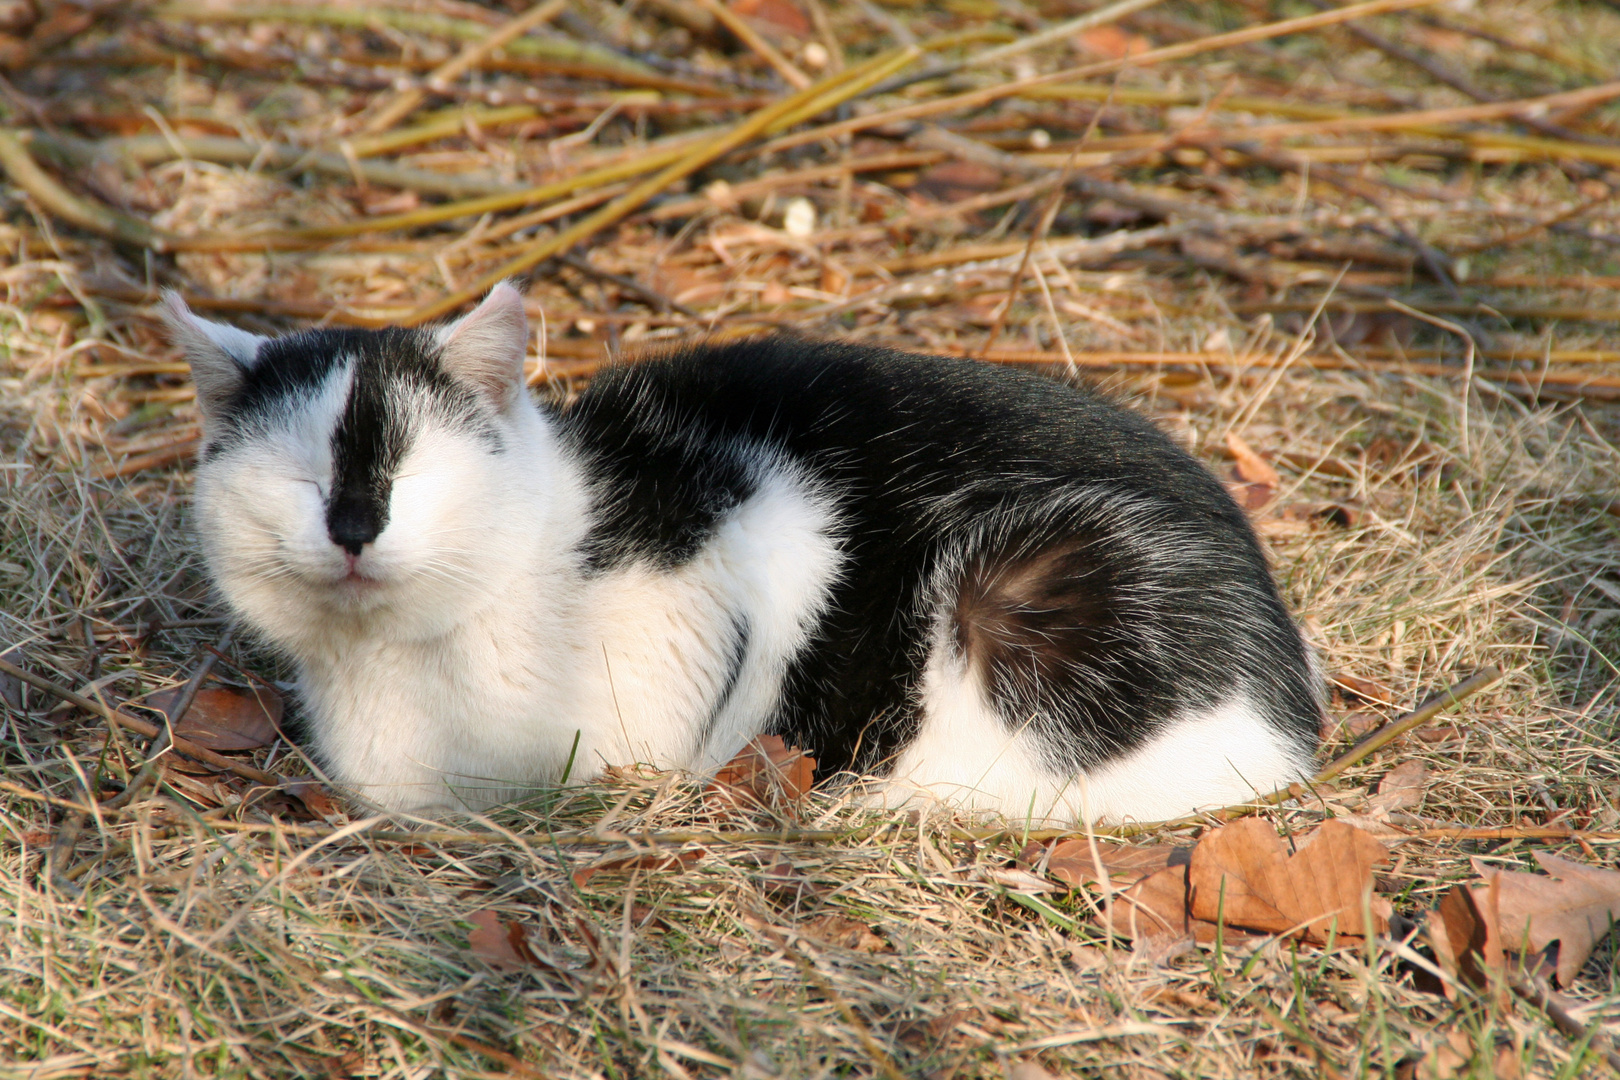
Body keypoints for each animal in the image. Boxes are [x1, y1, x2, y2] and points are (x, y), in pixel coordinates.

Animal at [164, 283, 1321, 822]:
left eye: (412, 479)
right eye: (306, 482)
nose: (355, 527)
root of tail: (1300, 707)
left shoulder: (750, 547)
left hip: (1029, 591)